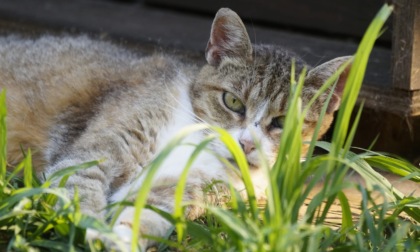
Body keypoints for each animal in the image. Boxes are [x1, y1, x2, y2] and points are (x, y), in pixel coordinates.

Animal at [1, 7, 352, 250]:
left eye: (282, 123)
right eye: (233, 102)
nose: (247, 144)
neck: (196, 138)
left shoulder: (184, 190)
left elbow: (146, 214)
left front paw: (118, 239)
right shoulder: (99, 150)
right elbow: (82, 187)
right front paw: (92, 226)